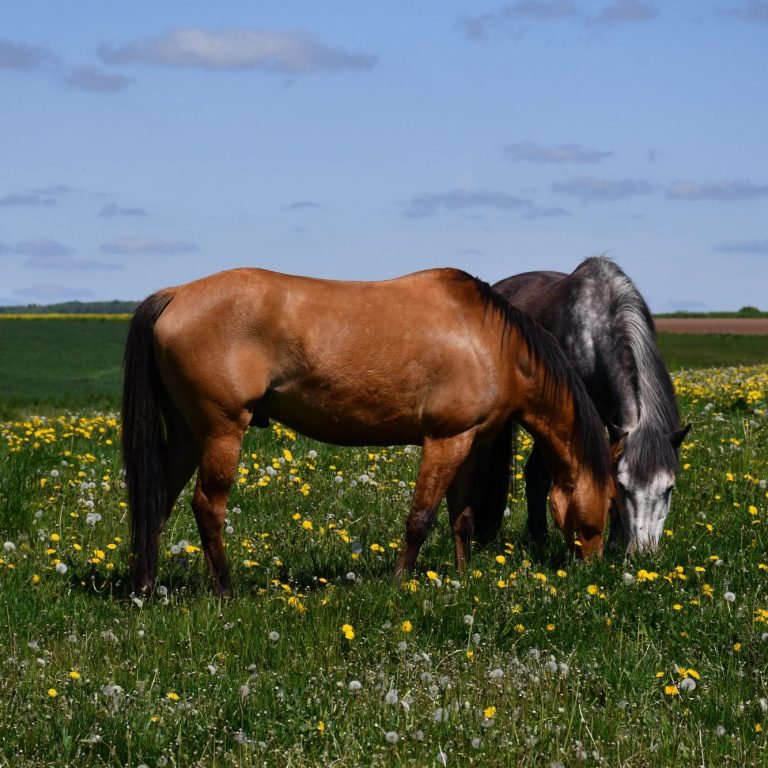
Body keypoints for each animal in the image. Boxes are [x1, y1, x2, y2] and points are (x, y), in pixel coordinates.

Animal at [122, 266, 616, 596]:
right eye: (613, 497)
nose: (594, 568)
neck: (492, 342)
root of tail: (175, 295)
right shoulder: (445, 441)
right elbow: (420, 518)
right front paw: (399, 582)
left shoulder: (468, 444)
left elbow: (462, 517)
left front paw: (461, 577)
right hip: (221, 431)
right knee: (207, 507)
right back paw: (225, 590)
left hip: (188, 435)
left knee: (157, 501)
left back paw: (145, 587)